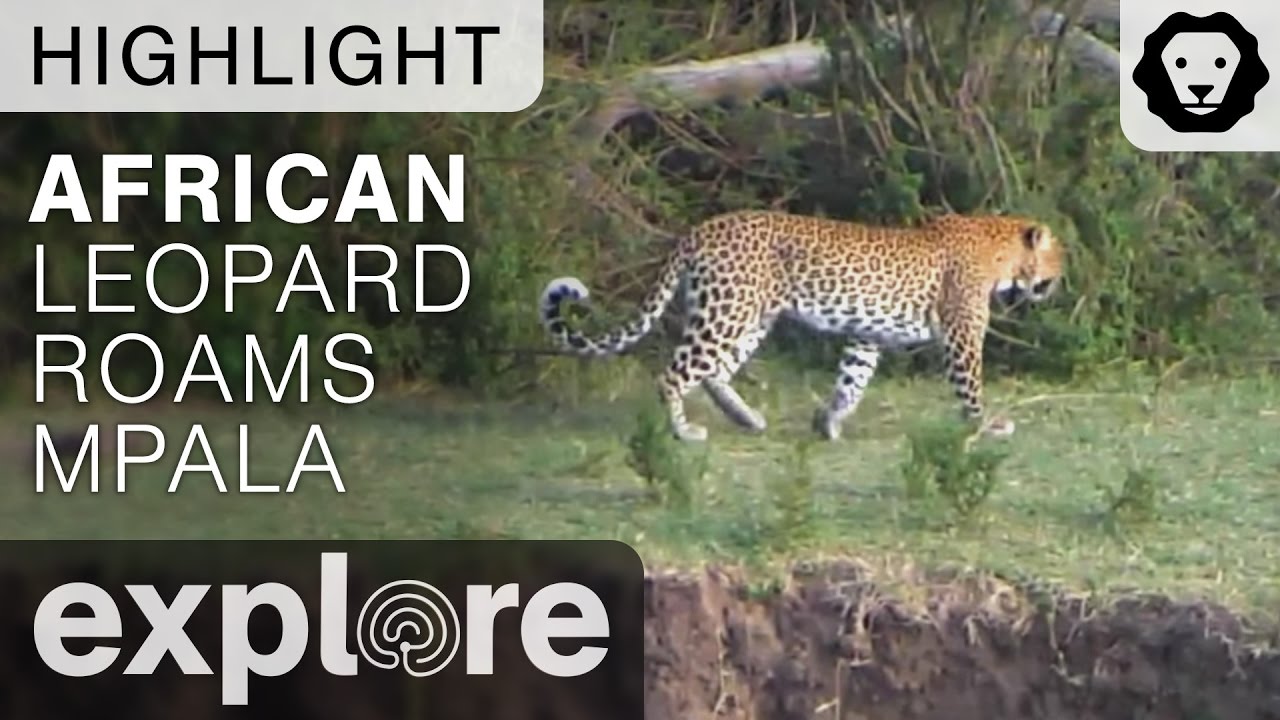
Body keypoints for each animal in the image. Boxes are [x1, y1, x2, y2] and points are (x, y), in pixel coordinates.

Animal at [538, 209, 1065, 442]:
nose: (1059, 283)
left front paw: (828, 422)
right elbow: (970, 383)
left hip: (747, 315)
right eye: (1058, 258)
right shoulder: (961, 333)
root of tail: (699, 229)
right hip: (729, 312)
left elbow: (852, 381)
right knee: (675, 373)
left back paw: (747, 419)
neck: (1001, 250)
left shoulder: (865, 335)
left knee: (714, 372)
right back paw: (684, 432)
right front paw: (987, 424)